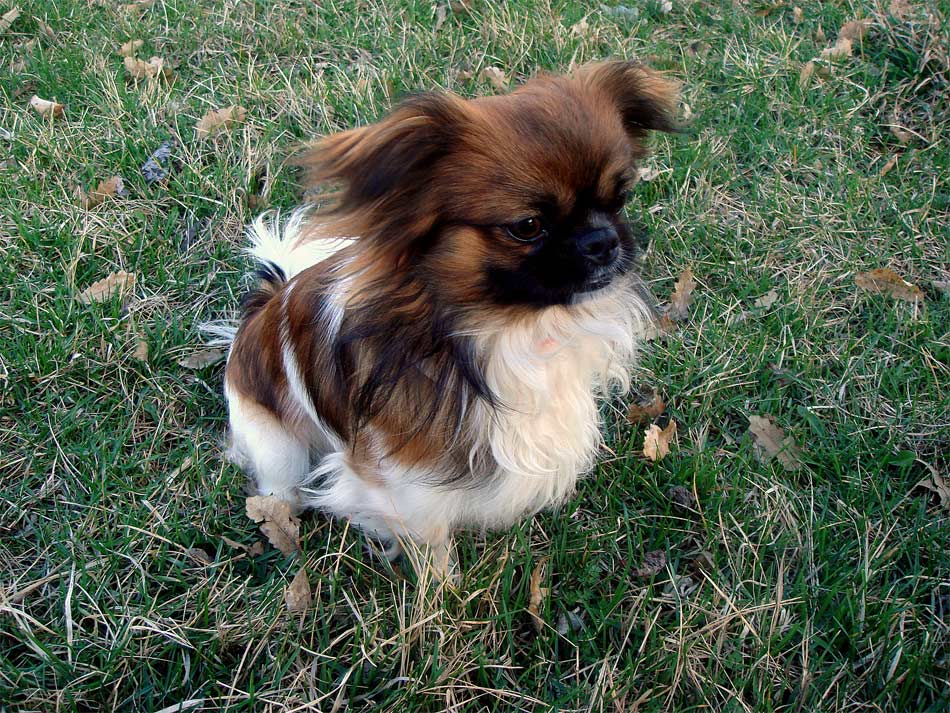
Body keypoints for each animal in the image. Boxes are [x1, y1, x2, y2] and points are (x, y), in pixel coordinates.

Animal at [222, 60, 679, 575]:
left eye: (619, 198)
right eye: (527, 227)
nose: (603, 240)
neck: (510, 327)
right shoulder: (397, 479)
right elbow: (431, 540)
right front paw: (446, 584)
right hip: (277, 446)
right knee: (280, 486)